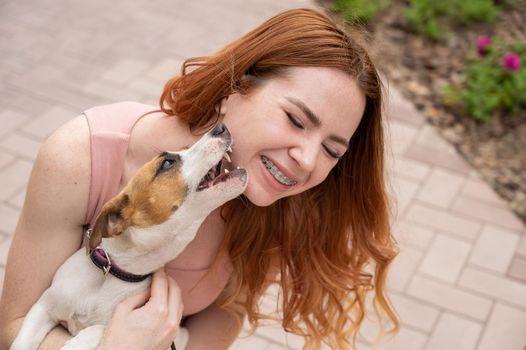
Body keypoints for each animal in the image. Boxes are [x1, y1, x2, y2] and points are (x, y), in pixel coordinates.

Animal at [11, 123, 250, 350]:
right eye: (167, 163)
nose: (221, 127)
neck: (114, 272)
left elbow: (101, 328)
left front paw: (77, 343)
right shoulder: (43, 307)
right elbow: (21, 342)